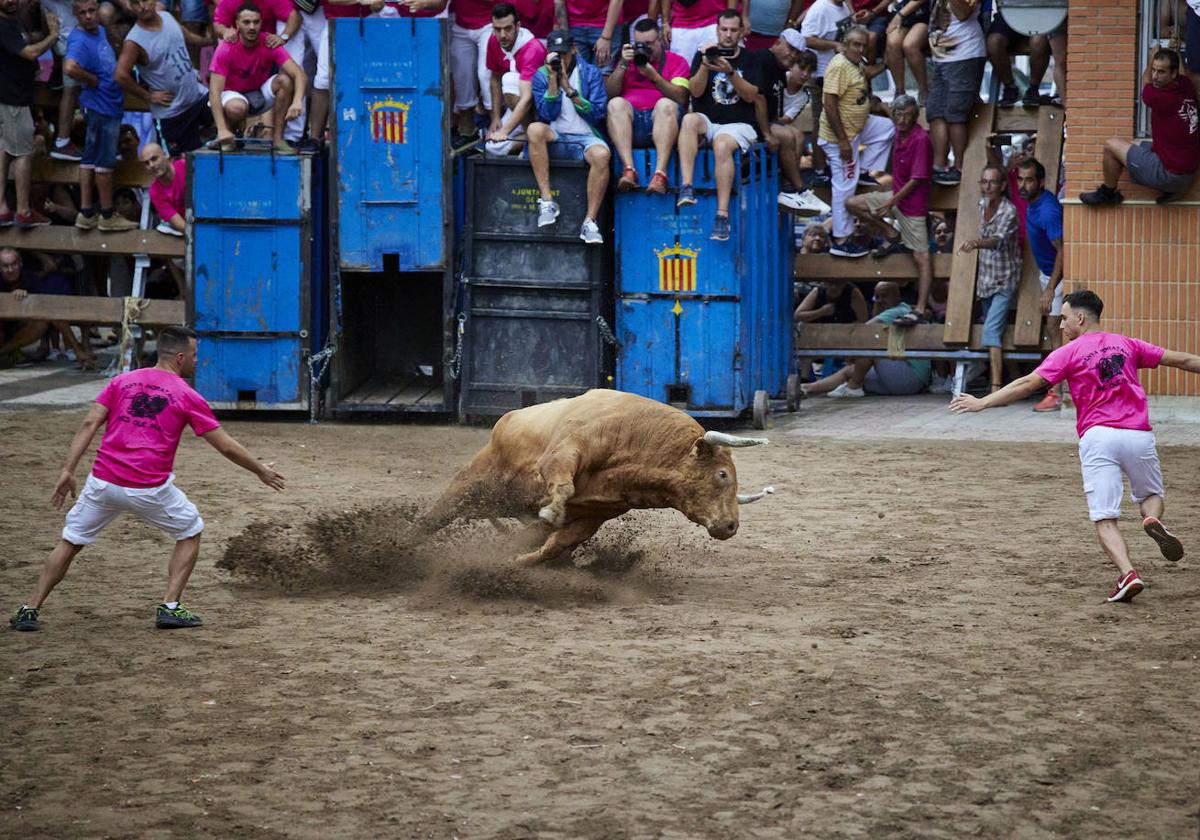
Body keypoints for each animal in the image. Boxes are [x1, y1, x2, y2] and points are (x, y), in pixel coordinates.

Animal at [412, 391, 772, 568]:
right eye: (722, 474)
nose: (731, 526)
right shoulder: (564, 451)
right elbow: (562, 484)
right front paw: (551, 510)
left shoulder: (593, 516)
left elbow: (555, 544)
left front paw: (518, 559)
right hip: (472, 484)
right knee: (434, 517)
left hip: (494, 501)